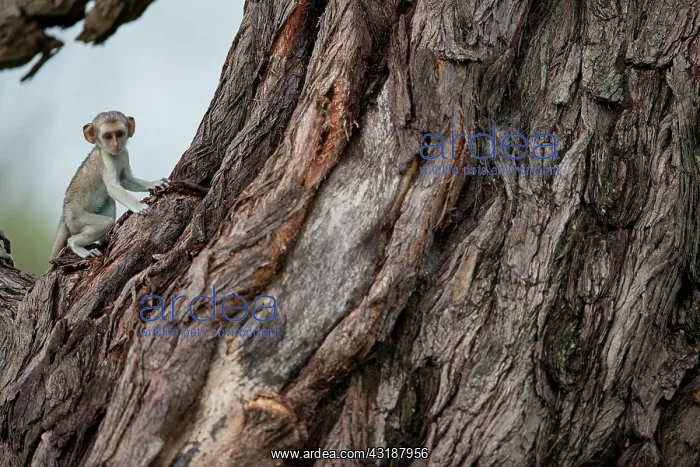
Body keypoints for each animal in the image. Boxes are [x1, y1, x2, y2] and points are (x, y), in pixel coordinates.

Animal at [50, 111, 169, 260]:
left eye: (119, 134)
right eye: (107, 136)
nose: (115, 143)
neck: (113, 154)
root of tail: (64, 215)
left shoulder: (124, 152)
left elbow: (126, 180)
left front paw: (154, 184)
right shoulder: (106, 159)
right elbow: (114, 188)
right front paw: (139, 207)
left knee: (110, 203)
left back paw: (103, 241)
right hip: (76, 219)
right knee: (104, 223)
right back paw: (76, 245)